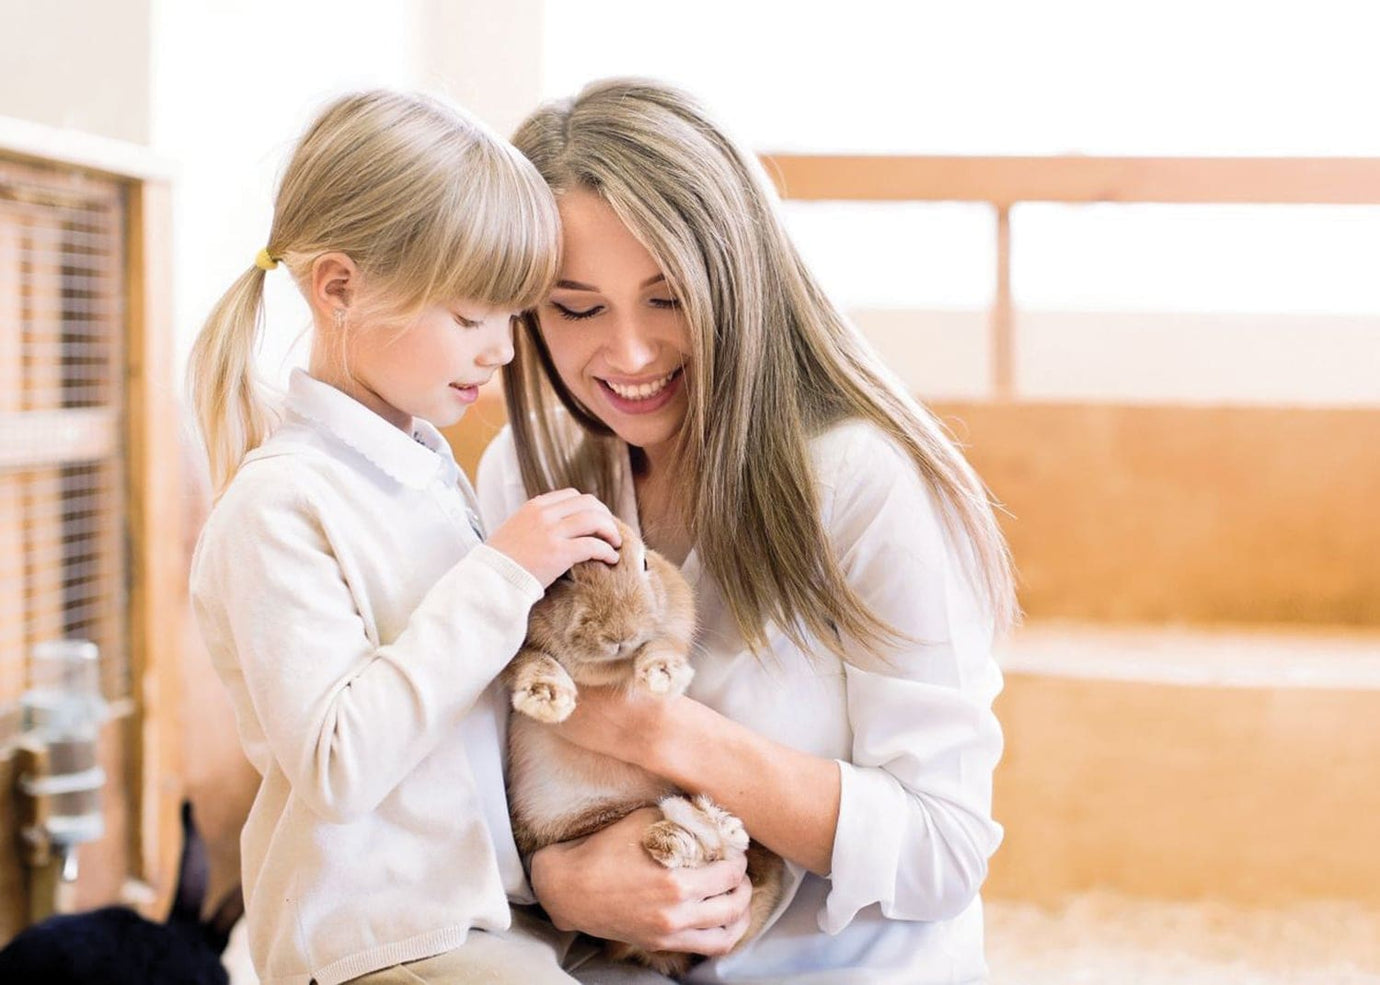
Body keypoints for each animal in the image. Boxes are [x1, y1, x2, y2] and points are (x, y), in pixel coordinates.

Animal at [507, 518, 789, 971]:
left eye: (644, 563)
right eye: (566, 576)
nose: (620, 634)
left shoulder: (672, 626)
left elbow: (662, 645)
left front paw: (661, 675)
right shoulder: (519, 656)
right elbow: (534, 662)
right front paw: (547, 700)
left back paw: (716, 825)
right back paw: (690, 832)